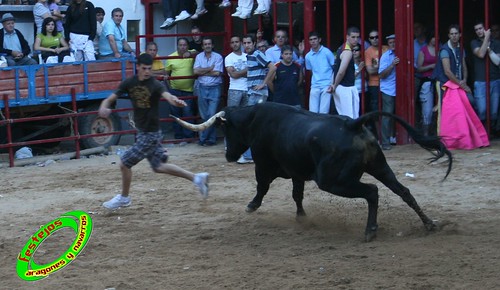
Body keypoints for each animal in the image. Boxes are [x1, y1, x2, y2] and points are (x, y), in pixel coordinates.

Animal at [173, 103, 454, 241]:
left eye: (227, 129)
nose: (229, 156)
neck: (255, 119)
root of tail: (353, 124)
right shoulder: (297, 171)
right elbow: (297, 195)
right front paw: (301, 217)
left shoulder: (263, 164)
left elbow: (262, 187)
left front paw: (252, 206)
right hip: (380, 167)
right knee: (403, 191)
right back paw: (429, 224)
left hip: (332, 180)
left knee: (372, 192)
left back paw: (370, 230)